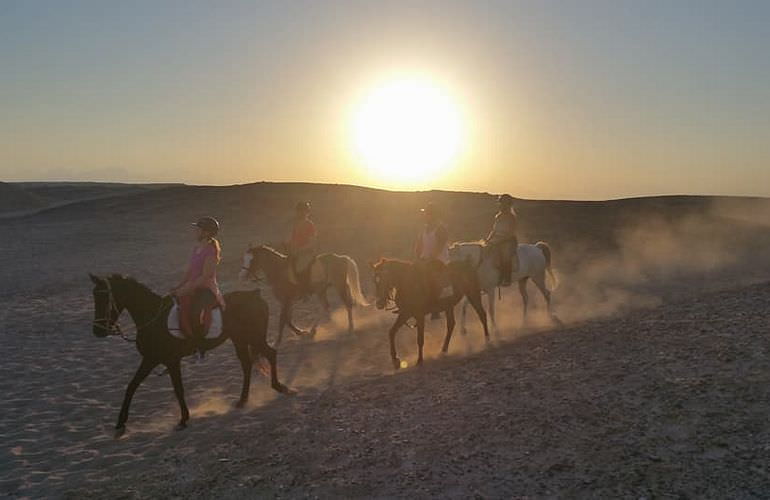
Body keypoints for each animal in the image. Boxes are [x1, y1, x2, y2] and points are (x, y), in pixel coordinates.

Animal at [88, 272, 292, 436]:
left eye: (105, 298)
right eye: (94, 297)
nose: (97, 331)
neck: (153, 318)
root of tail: (255, 294)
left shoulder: (170, 360)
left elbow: (178, 389)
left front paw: (183, 419)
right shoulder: (151, 359)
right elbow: (132, 386)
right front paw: (120, 423)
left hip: (254, 337)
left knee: (271, 354)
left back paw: (280, 387)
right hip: (240, 339)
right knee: (247, 364)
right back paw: (242, 400)